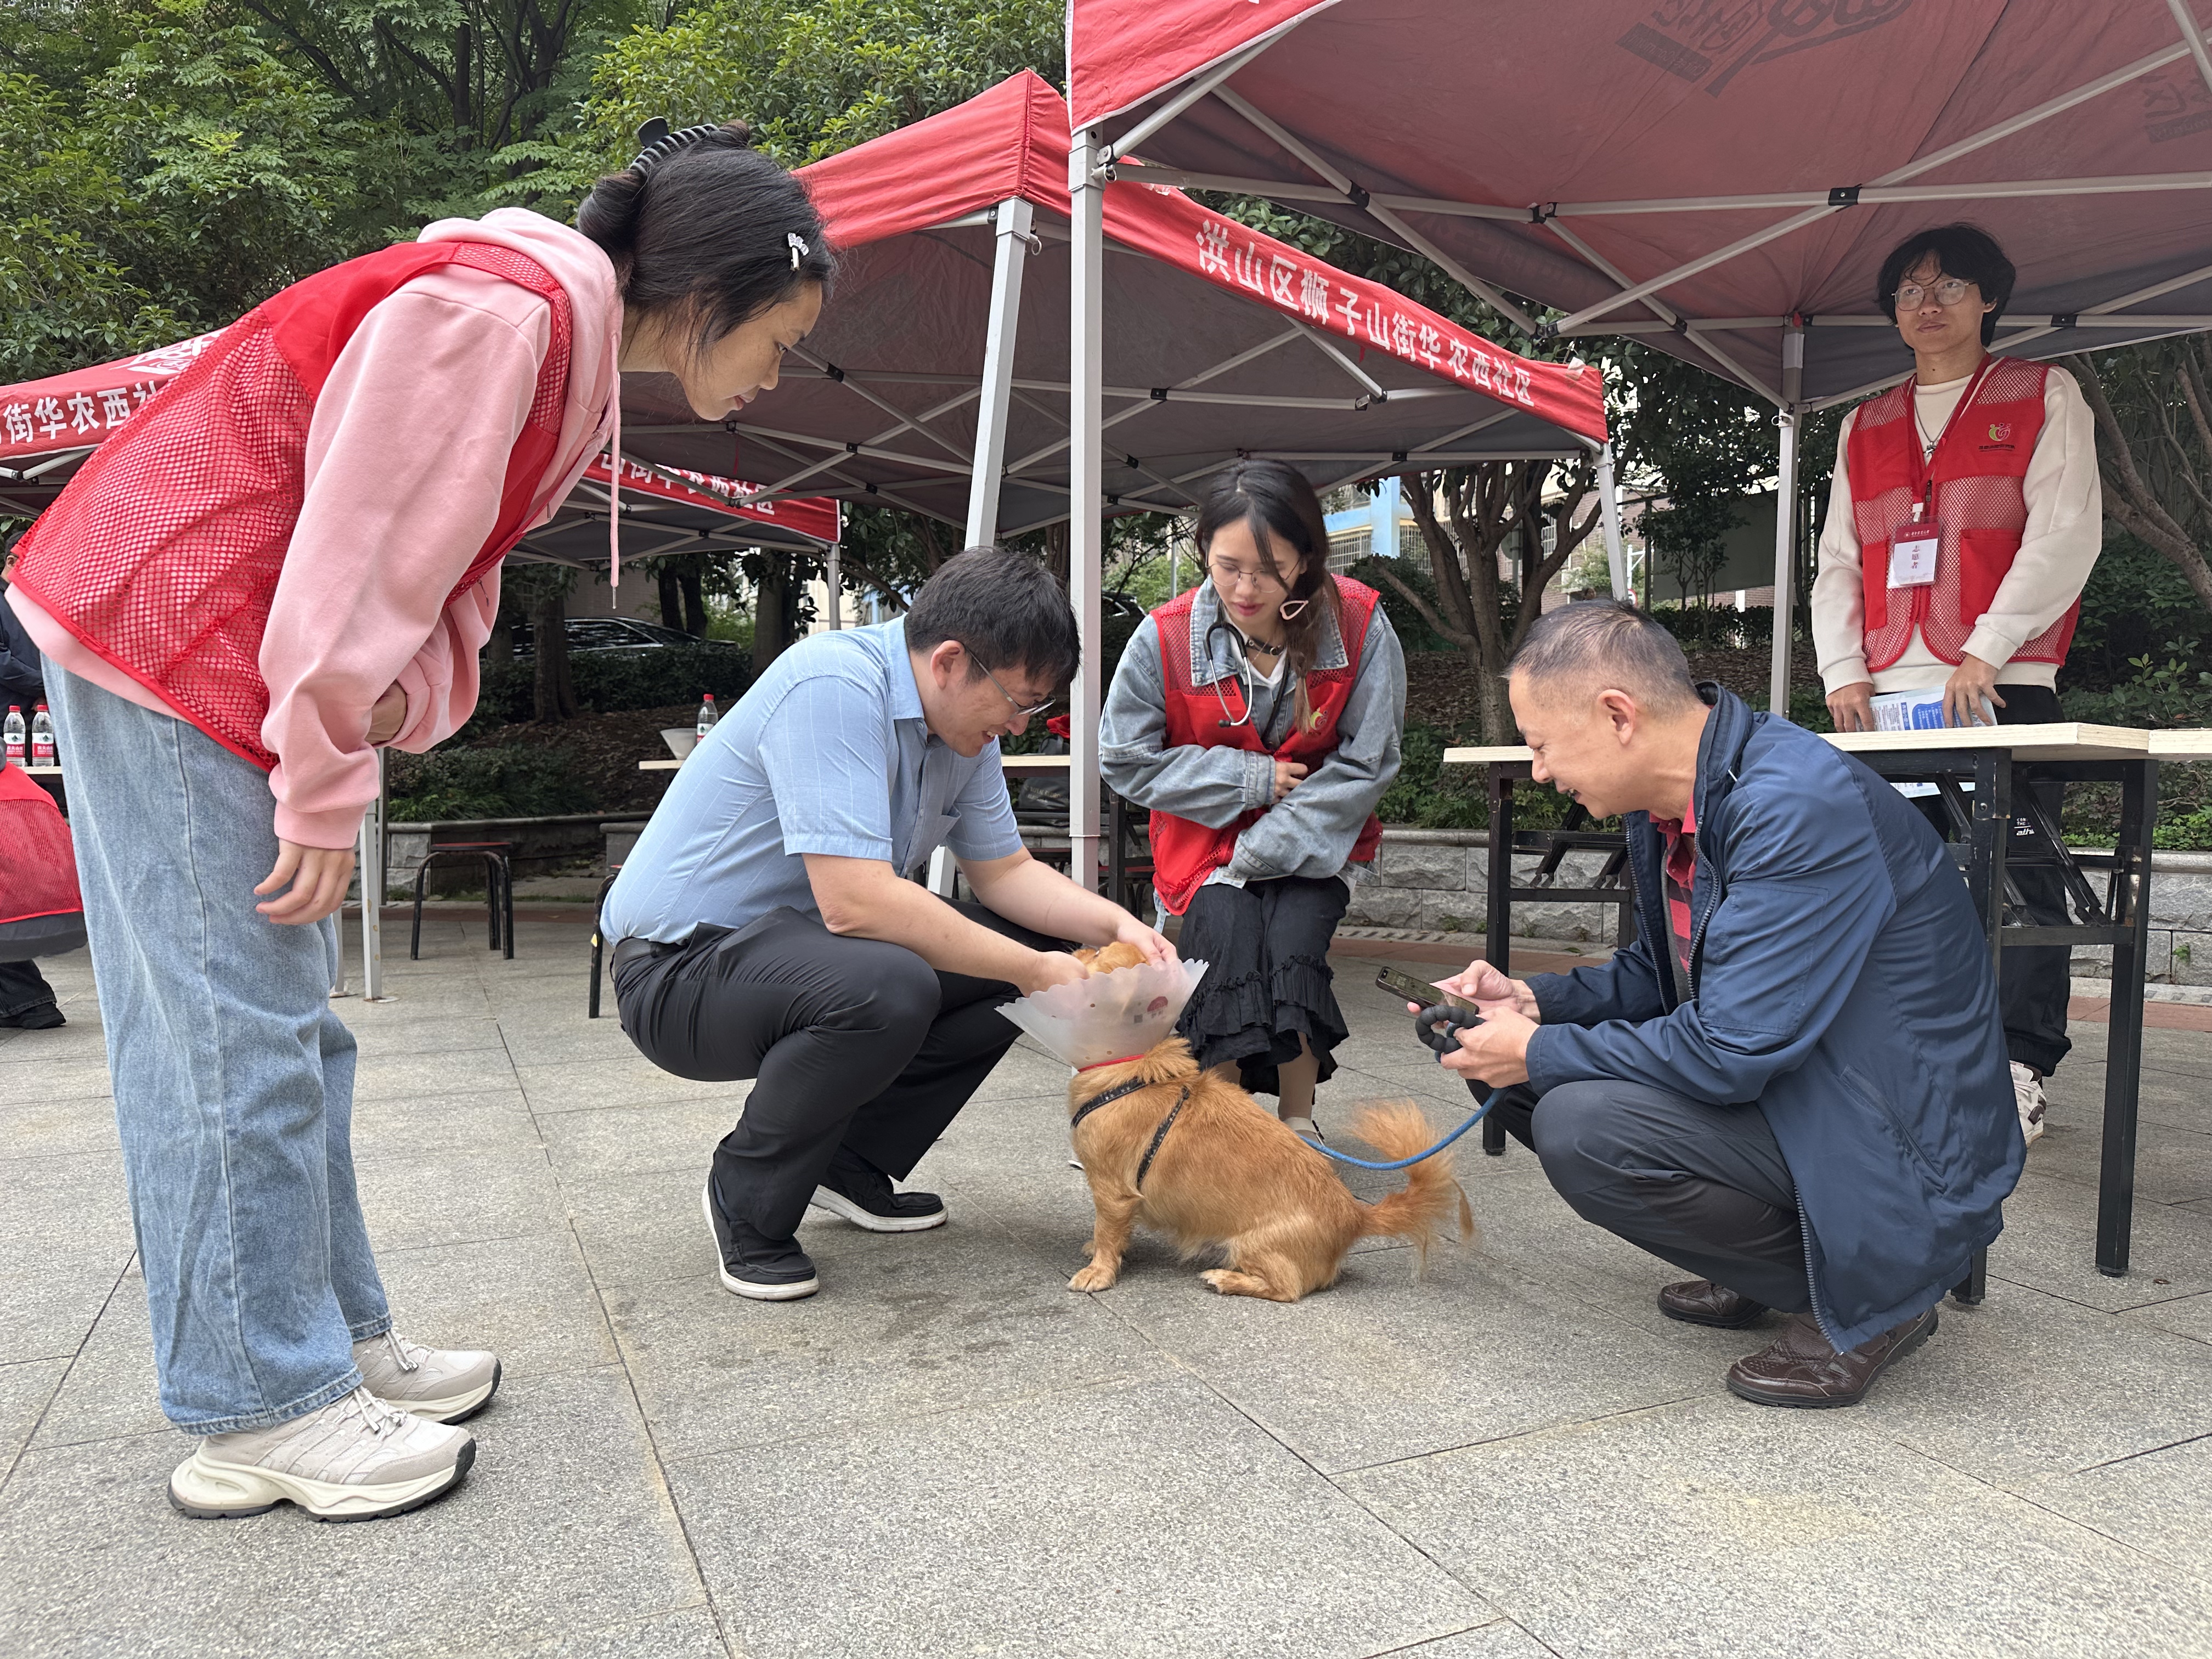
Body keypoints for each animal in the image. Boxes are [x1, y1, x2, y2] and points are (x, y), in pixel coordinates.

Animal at [1066, 1035, 1477, 1309]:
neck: (1132, 1076)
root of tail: (1355, 1215)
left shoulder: (1113, 1192)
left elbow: (1107, 1232)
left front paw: (1098, 1272)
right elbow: (1113, 1233)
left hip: (1251, 1244)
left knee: (1287, 1289)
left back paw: (1226, 1279)